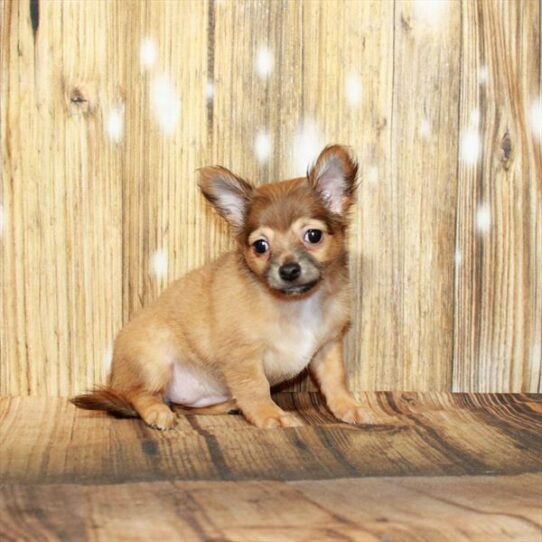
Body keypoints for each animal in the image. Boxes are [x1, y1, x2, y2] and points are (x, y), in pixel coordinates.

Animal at [72, 143, 368, 430]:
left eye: (313, 236)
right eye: (261, 246)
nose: (288, 270)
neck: (297, 304)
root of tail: (115, 380)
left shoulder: (327, 348)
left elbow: (335, 381)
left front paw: (349, 407)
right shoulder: (243, 357)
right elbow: (256, 389)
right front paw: (271, 415)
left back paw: (227, 406)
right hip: (153, 363)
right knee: (139, 394)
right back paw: (158, 412)